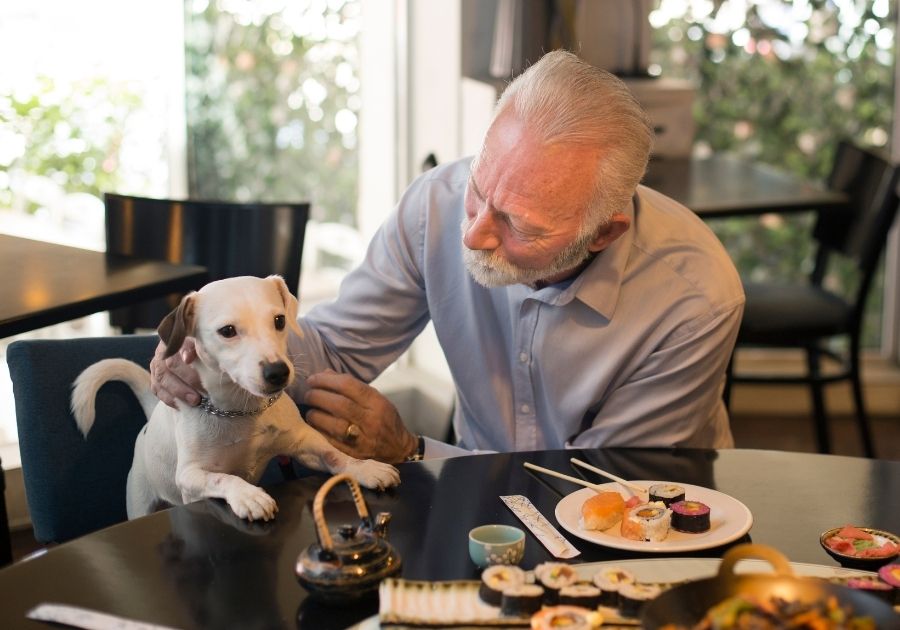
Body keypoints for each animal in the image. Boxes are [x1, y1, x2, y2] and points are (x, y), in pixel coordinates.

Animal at [67, 276, 398, 524]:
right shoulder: (191, 476)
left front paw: (365, 467)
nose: (278, 372)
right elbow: (223, 479)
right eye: (227, 331)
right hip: (141, 499)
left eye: (279, 320)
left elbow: (334, 456)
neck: (242, 412)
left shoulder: (303, 444)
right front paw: (248, 495)